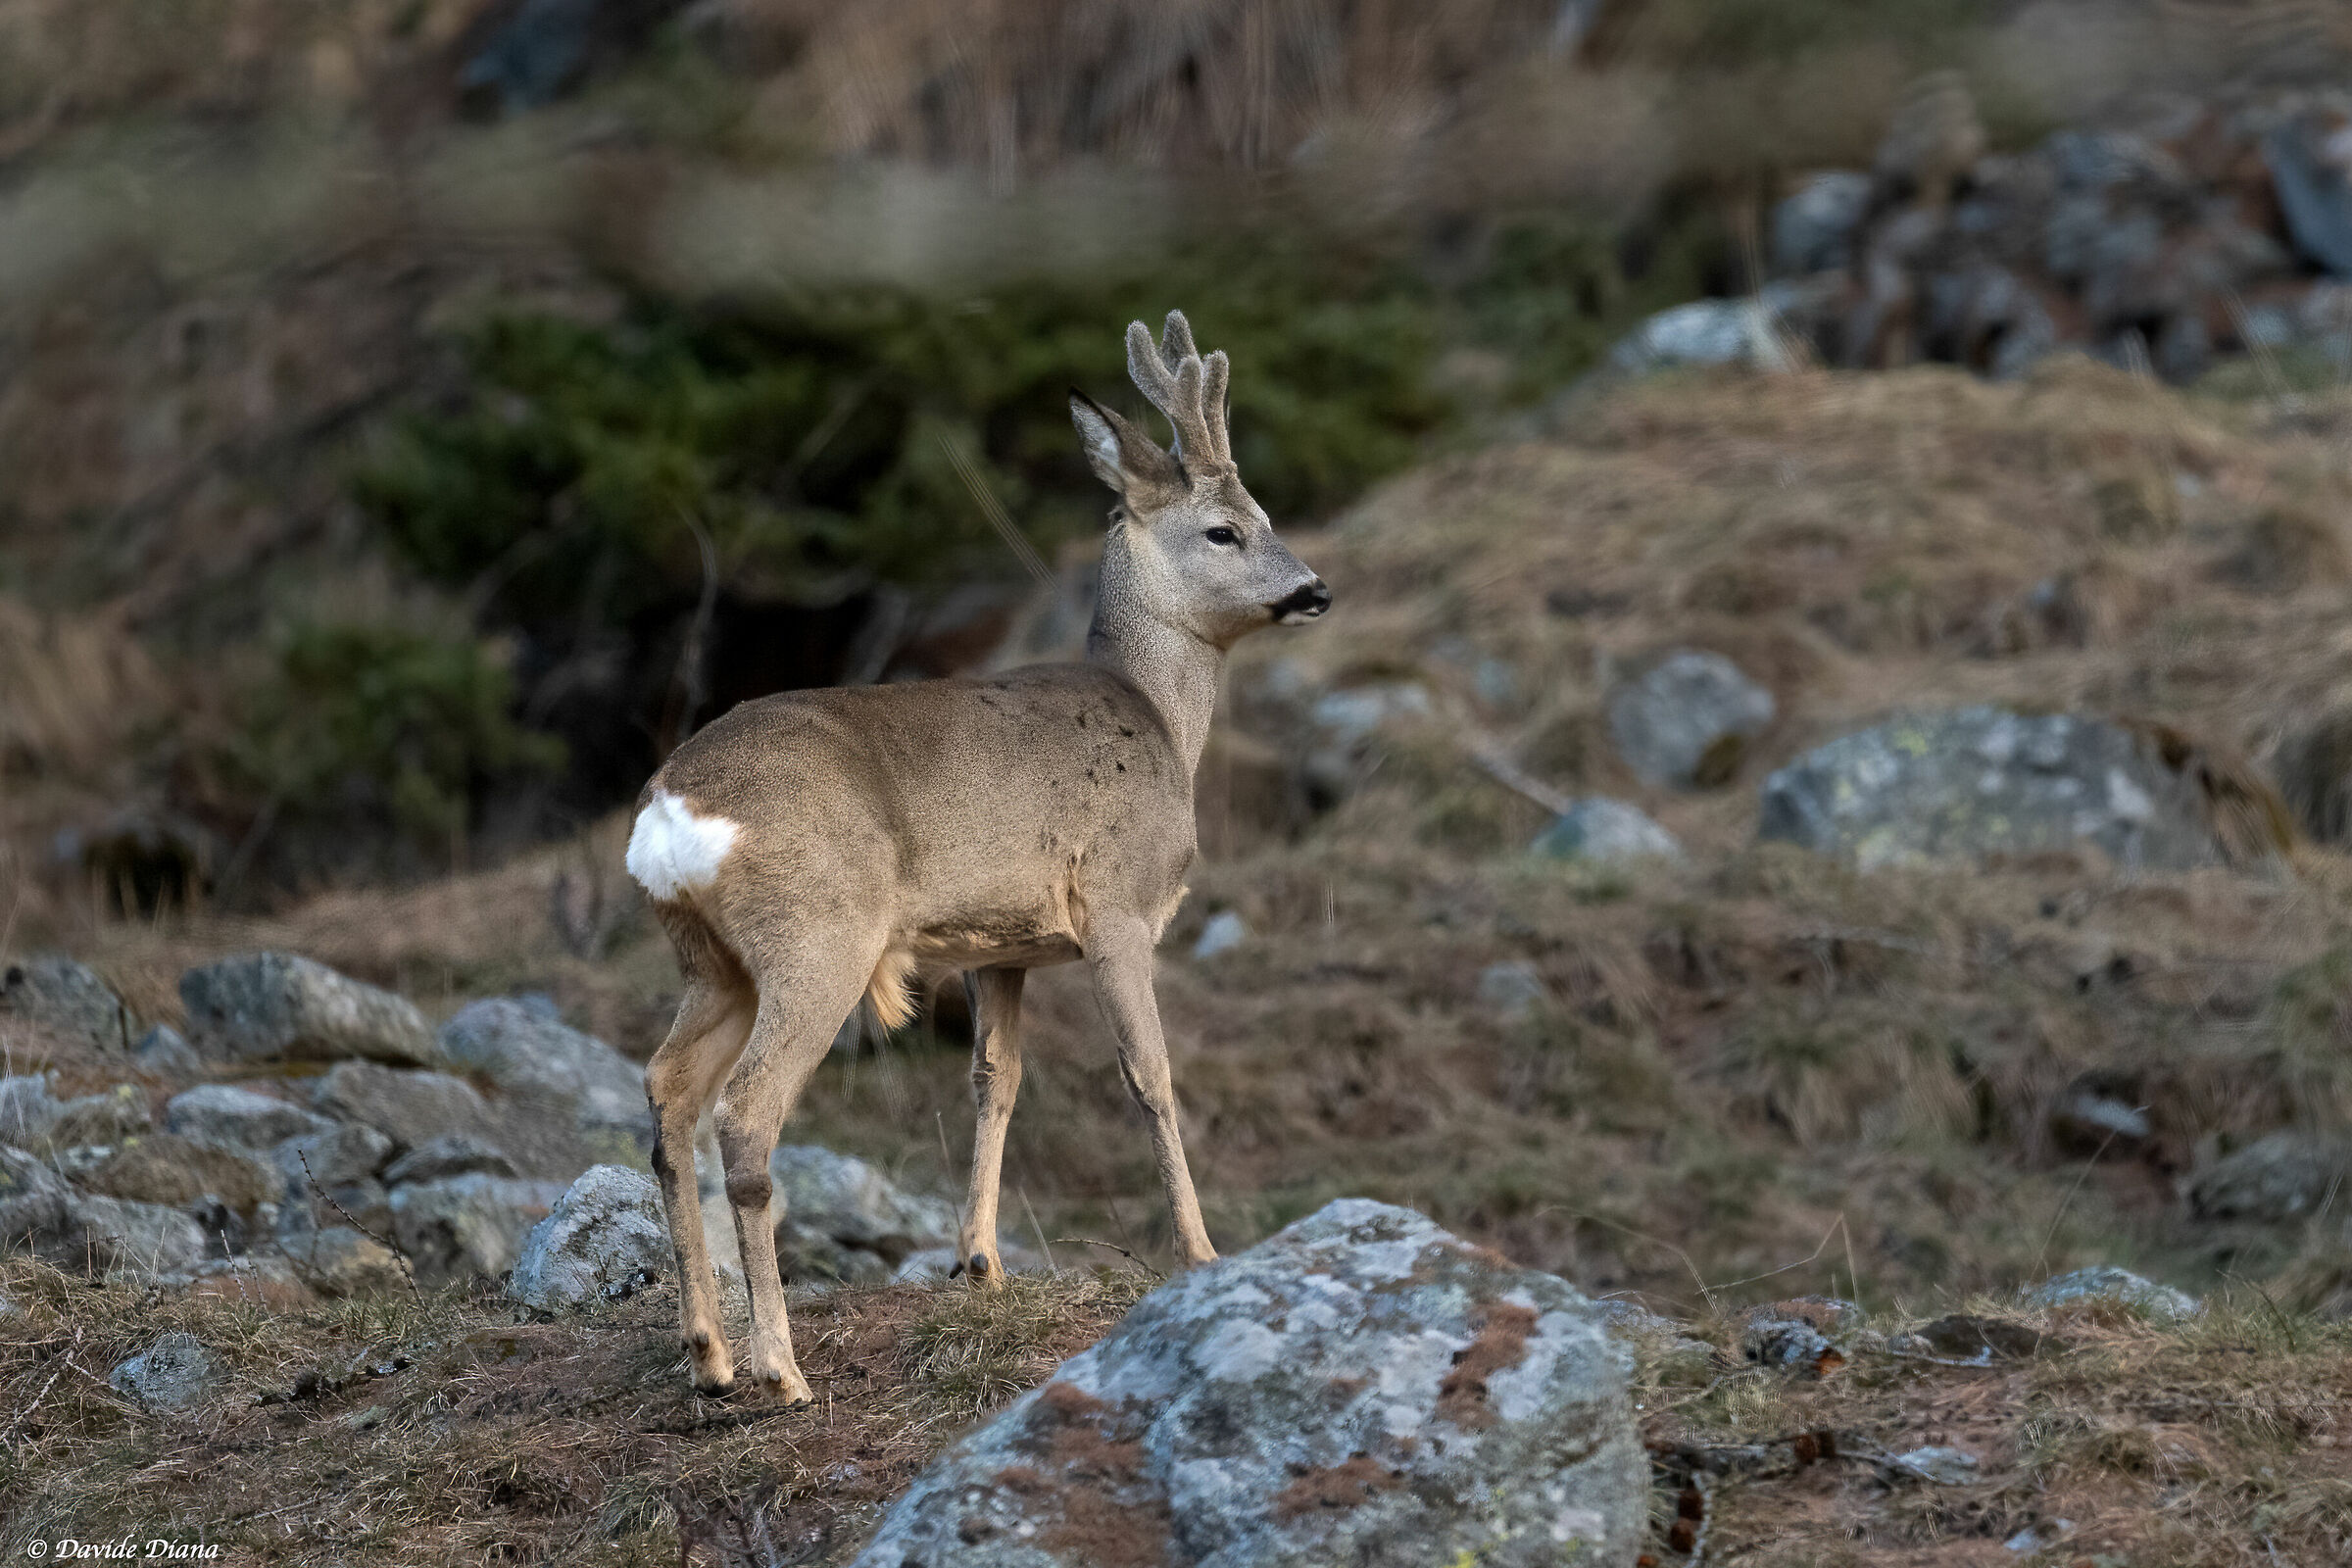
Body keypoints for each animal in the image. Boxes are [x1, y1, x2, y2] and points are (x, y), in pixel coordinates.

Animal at [625, 311, 1331, 1399]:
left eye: (1263, 513)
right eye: (1226, 528)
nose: (1313, 589)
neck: (1157, 716)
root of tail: (671, 808)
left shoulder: (1000, 945)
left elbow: (996, 1081)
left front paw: (982, 1263)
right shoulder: (1118, 906)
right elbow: (1150, 1074)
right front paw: (1201, 1252)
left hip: (712, 960)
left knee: (667, 1096)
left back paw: (710, 1354)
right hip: (816, 937)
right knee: (744, 1115)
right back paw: (781, 1369)